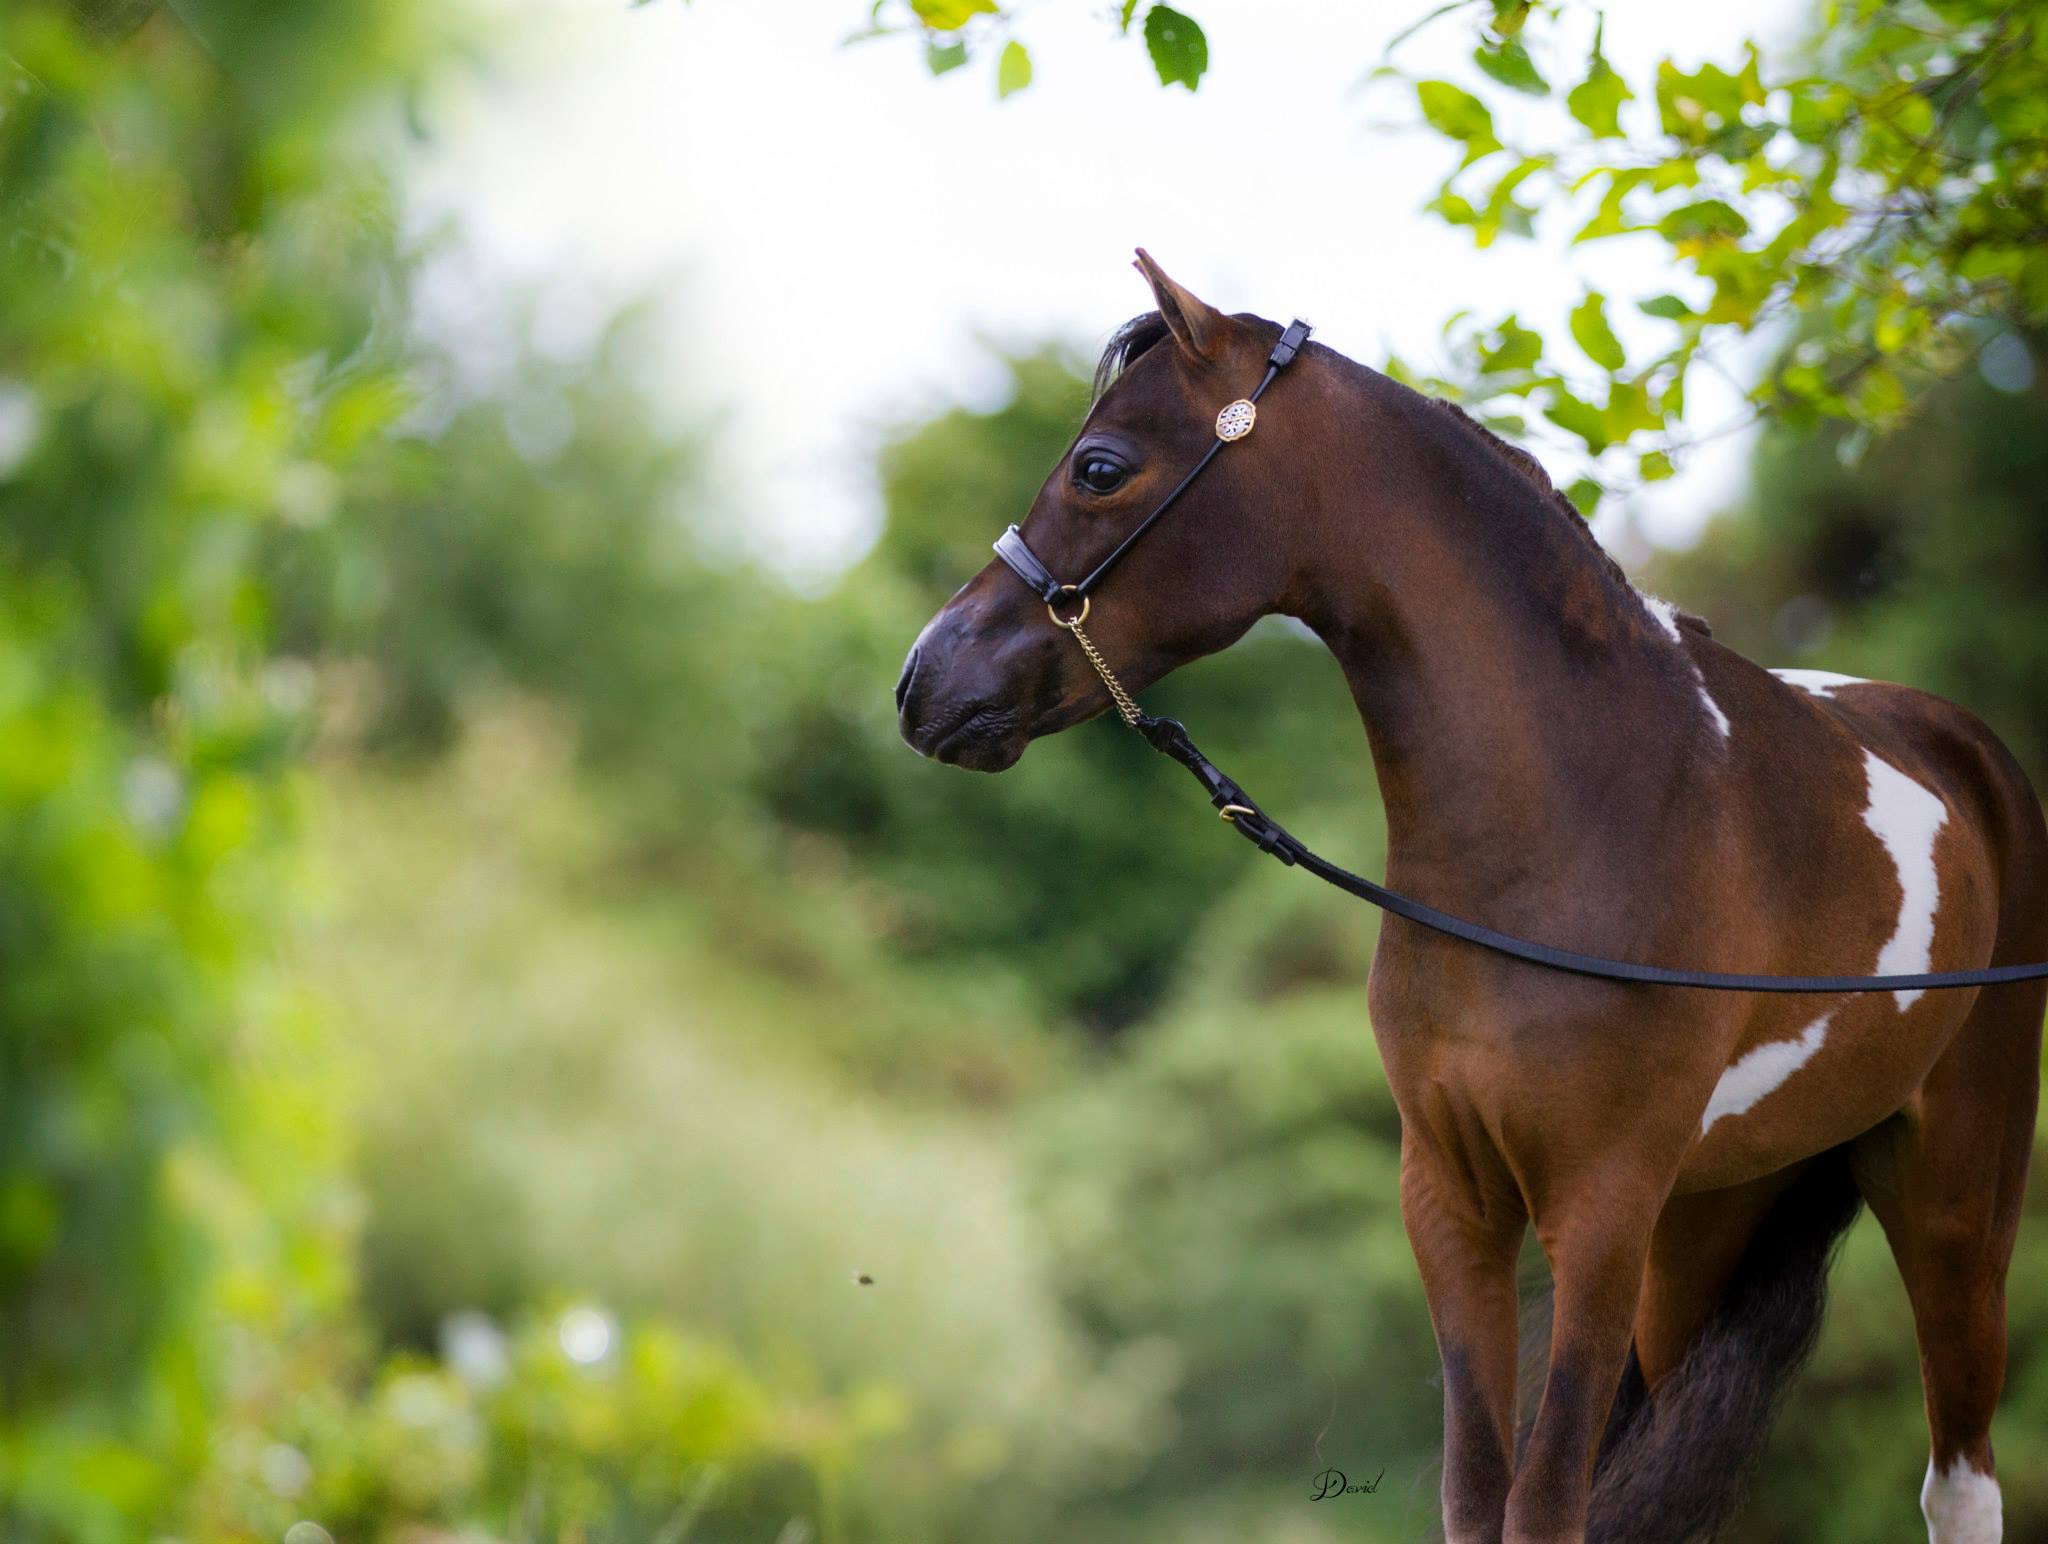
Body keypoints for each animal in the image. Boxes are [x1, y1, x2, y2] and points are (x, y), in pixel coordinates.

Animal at [893, 251, 2048, 1543]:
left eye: (1098, 466)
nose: (923, 680)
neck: (1576, 826)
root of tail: (1968, 752)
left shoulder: (1597, 1210)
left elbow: (1539, 1505)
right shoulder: (1451, 1200)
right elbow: (1477, 1491)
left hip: (1953, 1198)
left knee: (1959, 1481)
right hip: (1708, 1224)